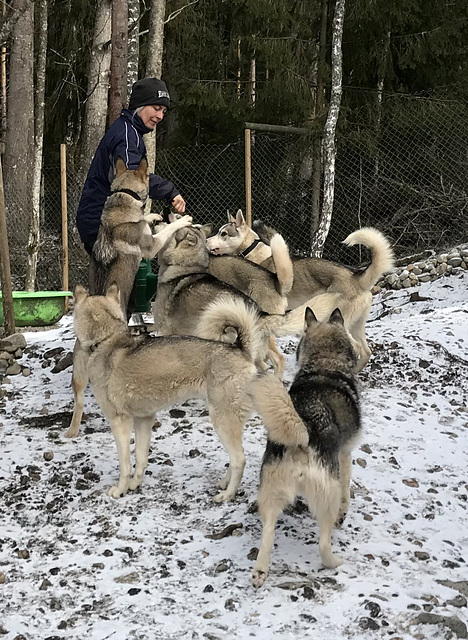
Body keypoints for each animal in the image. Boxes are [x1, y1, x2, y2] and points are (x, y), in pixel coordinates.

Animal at [68, 284, 268, 500]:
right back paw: (224, 483)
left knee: (239, 460)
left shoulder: (120, 421)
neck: (107, 339)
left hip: (222, 421)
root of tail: (242, 349)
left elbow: (125, 464)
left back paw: (227, 495)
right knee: (235, 456)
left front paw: (121, 489)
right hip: (229, 423)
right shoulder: (144, 419)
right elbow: (140, 457)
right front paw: (135, 484)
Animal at [207, 210, 394, 370]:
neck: (257, 254)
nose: (207, 241)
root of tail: (357, 279)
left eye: (223, 233)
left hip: (342, 322)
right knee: (366, 352)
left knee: (357, 348)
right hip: (357, 325)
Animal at [249, 308, 362, 588]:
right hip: (326, 494)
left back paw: (260, 571)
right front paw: (345, 512)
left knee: (268, 531)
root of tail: (302, 438)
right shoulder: (345, 454)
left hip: (270, 492)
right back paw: (334, 562)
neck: (324, 365)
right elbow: (347, 490)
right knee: (323, 543)